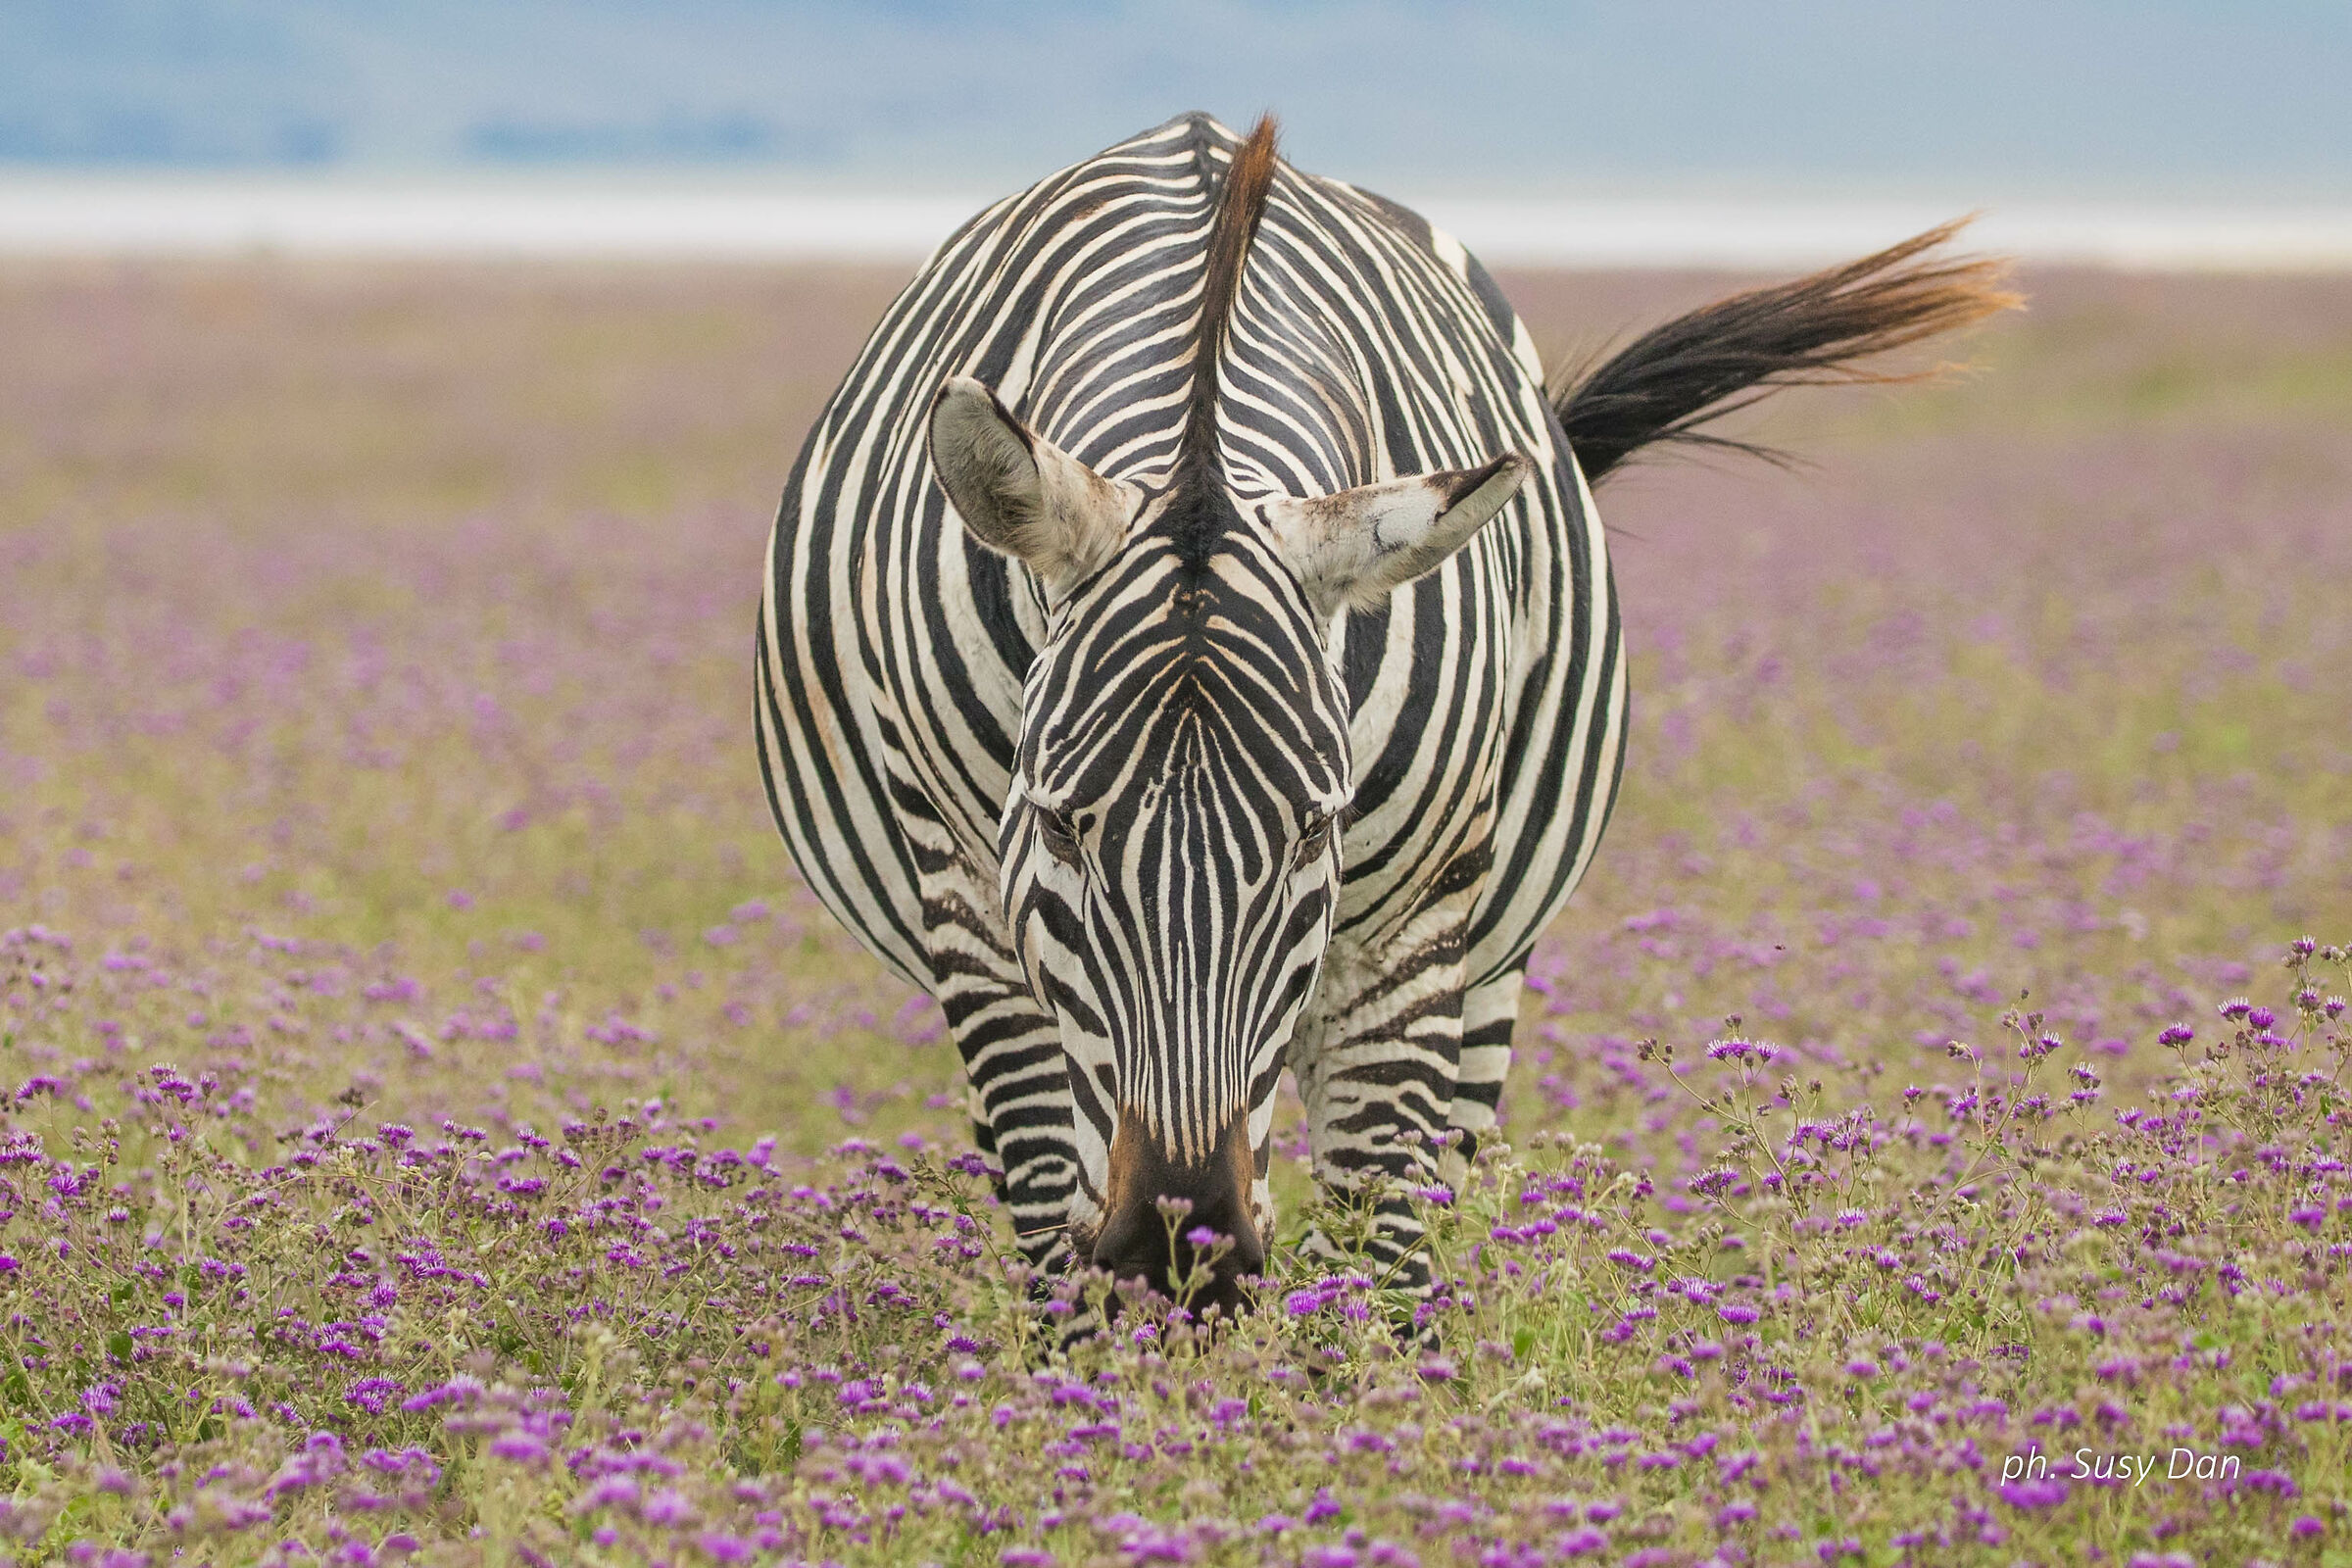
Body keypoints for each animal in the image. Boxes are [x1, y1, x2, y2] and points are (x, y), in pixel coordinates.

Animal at [756, 111, 2009, 1310]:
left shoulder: (1411, 940)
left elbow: (1379, 1268)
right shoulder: (977, 908)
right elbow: (1056, 1251)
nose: (1179, 1249)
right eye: (1062, 824)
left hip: (1491, 970)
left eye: (1316, 826)